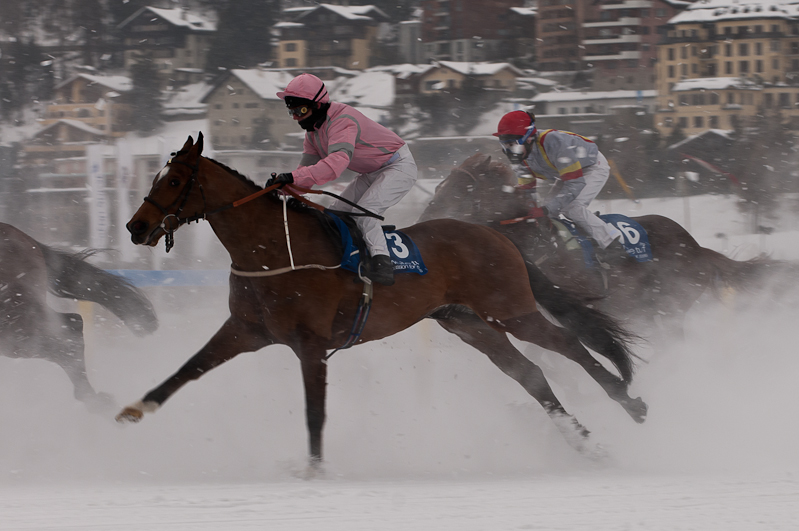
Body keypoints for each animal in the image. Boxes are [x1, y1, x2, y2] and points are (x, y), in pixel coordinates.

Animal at [114, 134, 648, 470]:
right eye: (157, 176)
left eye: (175, 181)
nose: (136, 227)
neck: (271, 251)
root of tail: (496, 233)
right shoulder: (245, 331)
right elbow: (188, 369)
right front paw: (133, 410)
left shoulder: (309, 343)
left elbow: (315, 410)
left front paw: (314, 470)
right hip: (467, 323)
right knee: (531, 373)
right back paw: (586, 443)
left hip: (511, 310)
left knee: (569, 345)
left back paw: (630, 403)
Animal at [422, 152, 784, 340]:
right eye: (441, 185)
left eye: (461, 188)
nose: (427, 214)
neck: (536, 241)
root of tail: (696, 248)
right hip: (643, 308)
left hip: (670, 305)